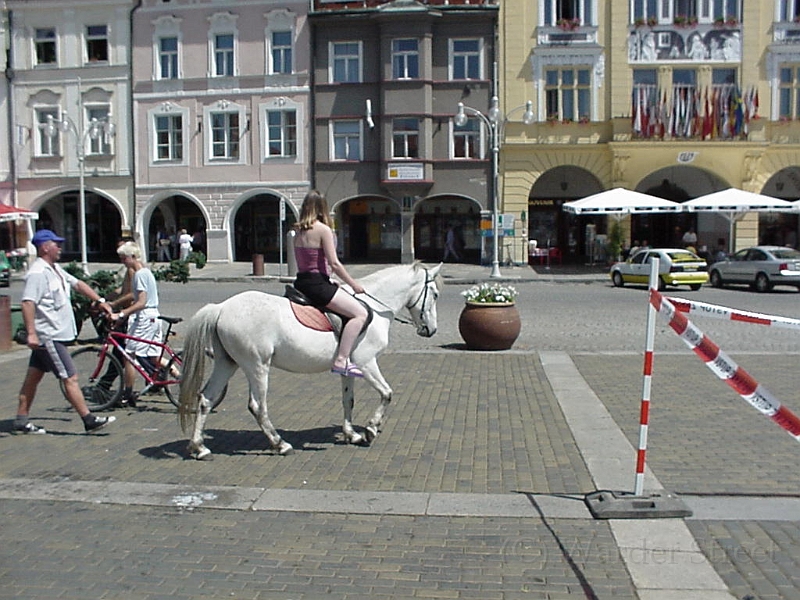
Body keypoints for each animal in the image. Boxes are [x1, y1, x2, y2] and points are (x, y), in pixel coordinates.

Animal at [177, 262, 444, 460]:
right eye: (435, 294)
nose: (431, 330)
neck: (374, 307)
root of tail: (221, 308)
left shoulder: (349, 369)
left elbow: (348, 400)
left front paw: (351, 434)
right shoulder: (367, 363)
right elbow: (387, 393)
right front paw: (370, 429)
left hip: (227, 364)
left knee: (206, 399)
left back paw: (199, 448)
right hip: (257, 366)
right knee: (257, 406)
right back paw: (280, 444)